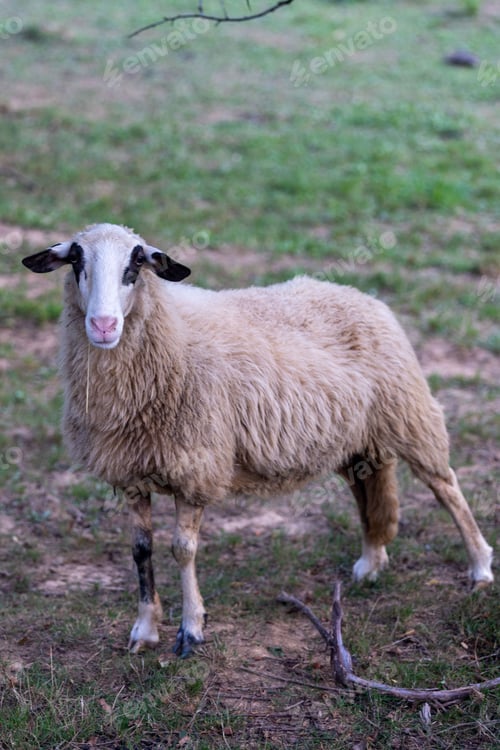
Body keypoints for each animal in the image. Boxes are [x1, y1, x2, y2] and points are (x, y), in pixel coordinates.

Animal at [22, 223, 494, 657]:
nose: (103, 325)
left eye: (136, 265)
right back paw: (371, 562)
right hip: (359, 440)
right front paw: (144, 630)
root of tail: (357, 294)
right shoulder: (131, 474)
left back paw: (480, 568)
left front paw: (191, 630)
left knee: (447, 487)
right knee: (370, 491)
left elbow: (182, 550)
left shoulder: (197, 465)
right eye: (76, 260)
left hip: (408, 412)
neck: (171, 337)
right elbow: (141, 551)